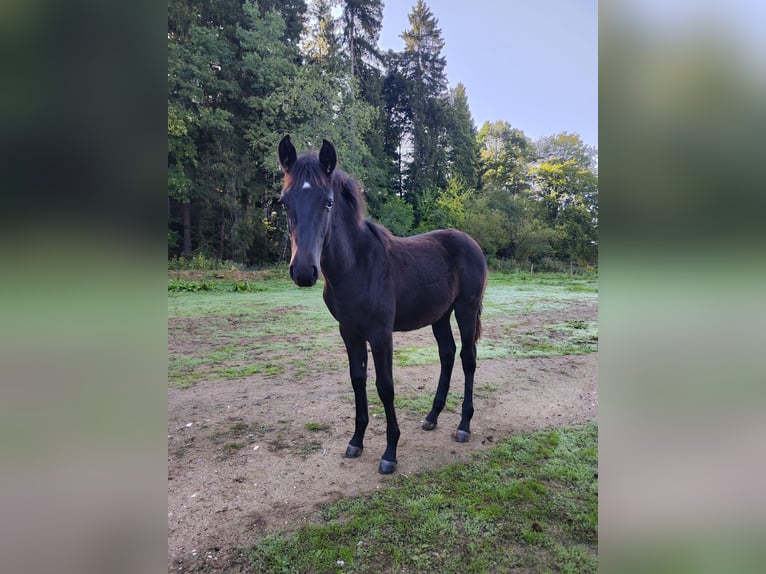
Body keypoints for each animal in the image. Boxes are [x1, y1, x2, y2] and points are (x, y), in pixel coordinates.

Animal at [278, 135, 488, 474]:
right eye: (284, 202)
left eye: (328, 202)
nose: (304, 271)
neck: (357, 267)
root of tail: (471, 243)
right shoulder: (349, 332)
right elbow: (357, 381)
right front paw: (356, 441)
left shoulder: (380, 334)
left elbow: (385, 386)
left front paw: (390, 453)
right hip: (440, 315)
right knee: (447, 355)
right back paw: (432, 417)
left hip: (466, 309)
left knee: (468, 358)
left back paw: (464, 425)